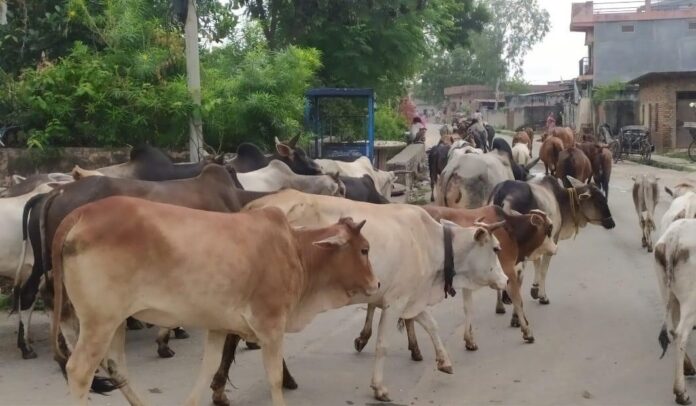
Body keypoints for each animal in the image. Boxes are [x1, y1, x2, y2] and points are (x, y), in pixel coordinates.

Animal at [51, 197, 379, 406]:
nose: (376, 283)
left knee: (116, 368)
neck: (297, 252)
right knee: (79, 371)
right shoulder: (271, 324)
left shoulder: (219, 326)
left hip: (114, 322)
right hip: (99, 322)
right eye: (364, 249)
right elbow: (273, 378)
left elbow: (208, 369)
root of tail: (81, 213)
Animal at [242, 190, 507, 403]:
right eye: (495, 248)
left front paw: (444, 362)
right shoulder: (395, 301)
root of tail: (254, 206)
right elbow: (382, 345)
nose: (504, 280)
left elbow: (432, 325)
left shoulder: (412, 297)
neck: (430, 244)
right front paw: (379, 388)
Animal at [490, 175, 615, 304]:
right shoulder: (551, 242)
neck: (561, 200)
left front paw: (535, 289)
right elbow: (543, 269)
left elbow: (537, 263)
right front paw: (542, 296)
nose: (612, 223)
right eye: (600, 201)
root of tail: (503, 192)